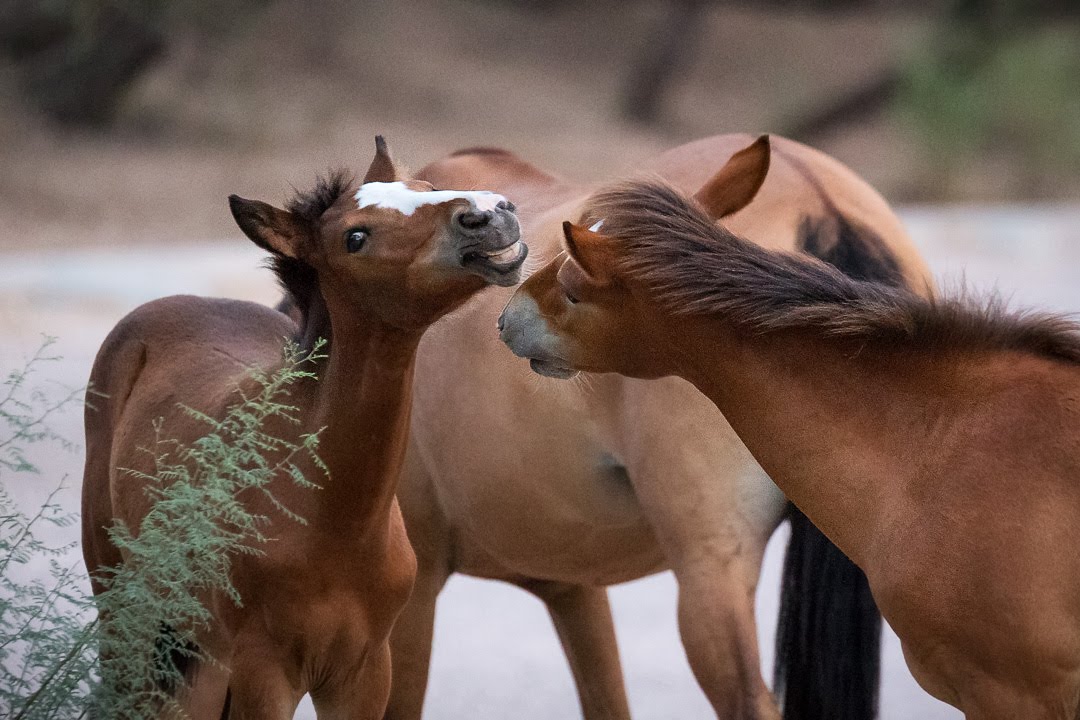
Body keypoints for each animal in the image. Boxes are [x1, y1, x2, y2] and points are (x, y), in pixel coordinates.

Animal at [80, 137, 527, 719]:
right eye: (355, 237)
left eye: (425, 187)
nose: (489, 213)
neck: (335, 525)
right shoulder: (263, 672)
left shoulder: (363, 671)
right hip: (124, 609)